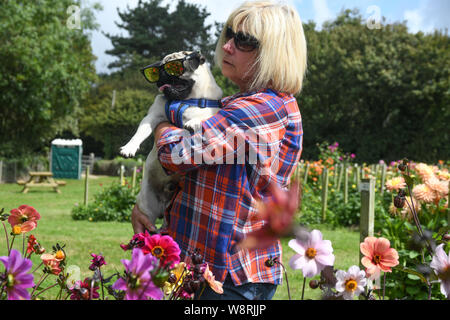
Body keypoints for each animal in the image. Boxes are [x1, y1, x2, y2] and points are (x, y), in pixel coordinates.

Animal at [119, 50, 223, 228]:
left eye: (172, 68)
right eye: (156, 70)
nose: (161, 75)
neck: (186, 100)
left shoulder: (211, 112)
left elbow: (202, 116)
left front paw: (193, 122)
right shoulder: (153, 116)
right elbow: (139, 133)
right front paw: (129, 147)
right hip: (148, 205)